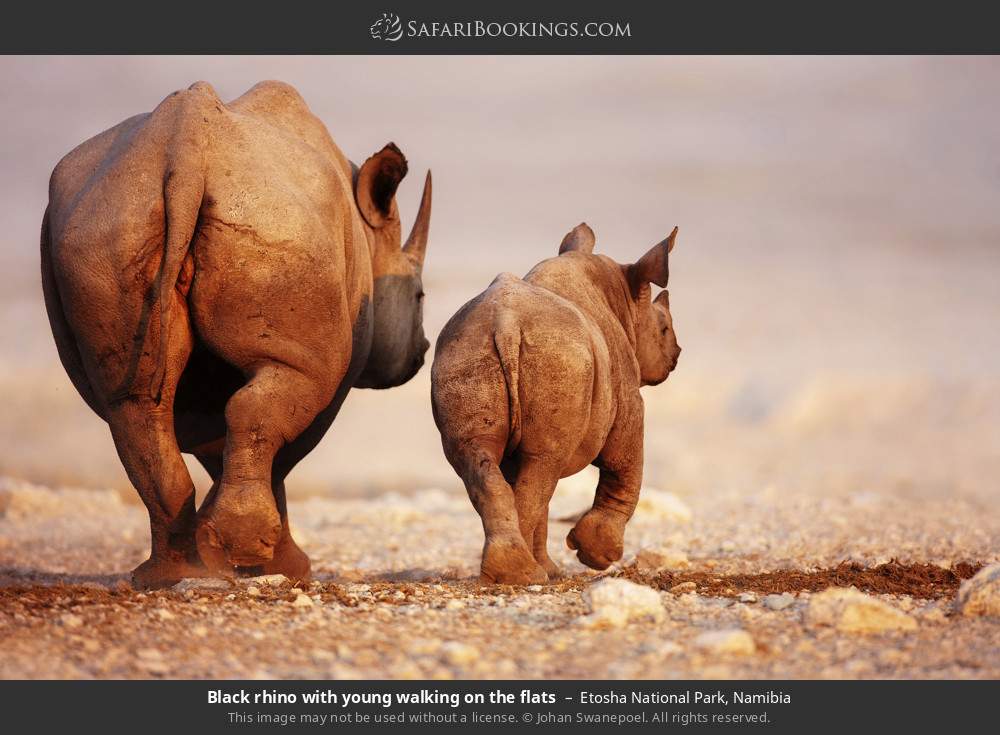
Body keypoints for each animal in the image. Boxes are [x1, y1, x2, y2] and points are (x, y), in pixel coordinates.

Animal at [40, 81, 432, 588]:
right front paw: (278, 564)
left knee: (132, 406)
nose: (421, 352)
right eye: (420, 296)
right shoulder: (334, 363)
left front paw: (220, 548)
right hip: (274, 222)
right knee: (268, 398)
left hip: (104, 224)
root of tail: (185, 147)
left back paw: (166, 574)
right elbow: (285, 449)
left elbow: (217, 441)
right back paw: (240, 557)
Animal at [431, 223, 680, 584]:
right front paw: (597, 555)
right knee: (542, 467)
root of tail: (506, 323)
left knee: (486, 461)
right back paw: (526, 575)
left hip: (464, 351)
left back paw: (515, 573)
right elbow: (623, 467)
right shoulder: (628, 397)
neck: (624, 301)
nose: (676, 354)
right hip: (558, 358)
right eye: (663, 329)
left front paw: (552, 568)